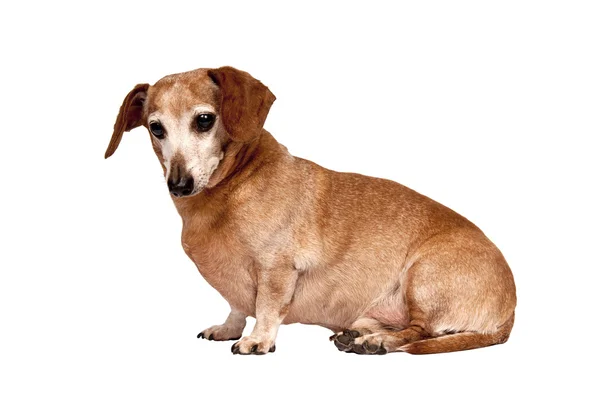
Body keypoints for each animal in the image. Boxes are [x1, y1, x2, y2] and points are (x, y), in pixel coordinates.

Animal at [106, 67, 516, 356]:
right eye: (155, 128)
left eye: (204, 120)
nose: (179, 184)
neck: (229, 191)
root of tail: (509, 311)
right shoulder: (235, 284)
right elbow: (237, 306)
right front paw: (228, 328)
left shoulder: (277, 270)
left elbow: (266, 307)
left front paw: (258, 340)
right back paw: (360, 333)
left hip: (423, 277)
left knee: (420, 331)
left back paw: (376, 343)